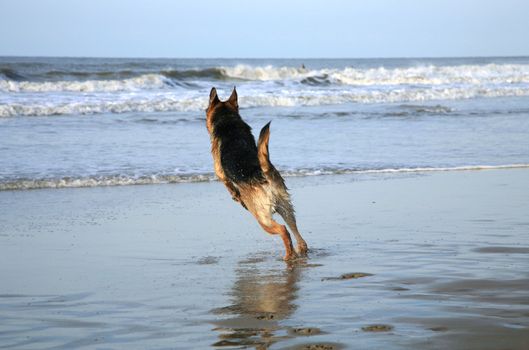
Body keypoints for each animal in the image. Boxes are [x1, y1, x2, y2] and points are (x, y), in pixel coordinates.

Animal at [205, 87, 308, 260]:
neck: (228, 120)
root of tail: (264, 175)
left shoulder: (220, 172)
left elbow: (228, 185)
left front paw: (236, 196)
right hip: (286, 208)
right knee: (297, 233)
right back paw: (300, 251)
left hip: (262, 218)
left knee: (283, 230)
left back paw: (289, 255)